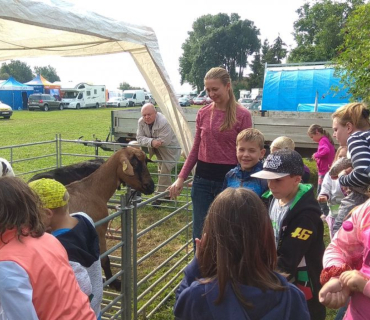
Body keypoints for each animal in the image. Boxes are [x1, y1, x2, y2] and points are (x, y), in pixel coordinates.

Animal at [66, 148, 154, 290]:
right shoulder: (99, 232)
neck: (93, 190)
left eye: (146, 162)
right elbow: (104, 259)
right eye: (134, 164)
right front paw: (114, 283)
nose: (151, 186)